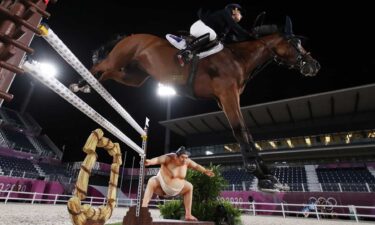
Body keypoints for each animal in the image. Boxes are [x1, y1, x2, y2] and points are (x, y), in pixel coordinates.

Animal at [84, 16, 320, 192]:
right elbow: (240, 130)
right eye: (295, 43)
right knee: (101, 66)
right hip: (119, 60)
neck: (239, 58)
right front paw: (262, 176)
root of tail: (132, 36)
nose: (314, 65)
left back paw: (86, 83)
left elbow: (247, 133)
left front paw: (271, 177)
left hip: (134, 76)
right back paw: (81, 81)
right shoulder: (227, 95)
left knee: (107, 73)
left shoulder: (228, 99)